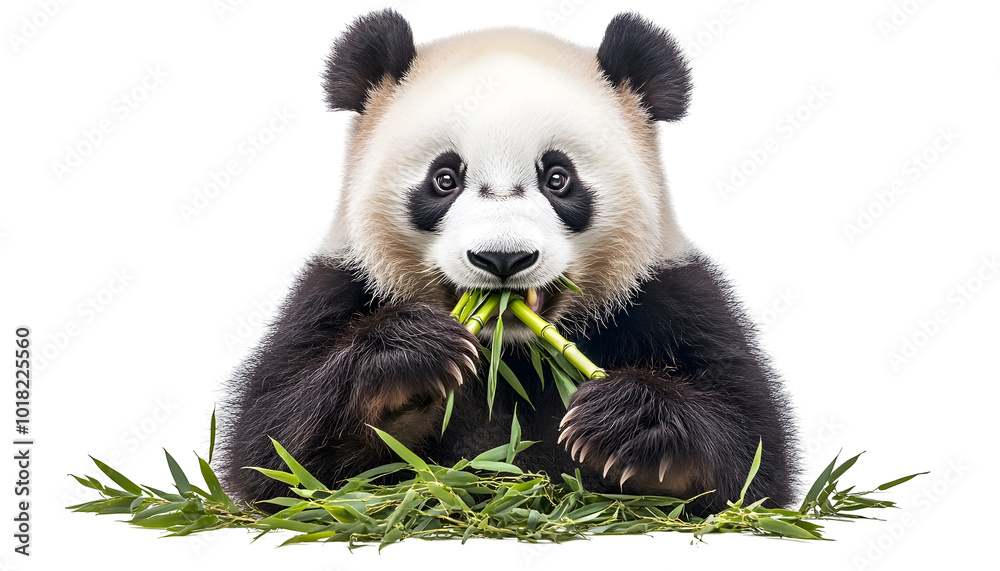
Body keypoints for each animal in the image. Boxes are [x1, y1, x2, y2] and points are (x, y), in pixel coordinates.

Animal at [220, 9, 798, 517]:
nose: (503, 258)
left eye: (558, 178)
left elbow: (751, 457)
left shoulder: (668, 297)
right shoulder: (340, 288)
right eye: (444, 179)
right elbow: (275, 451)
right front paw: (412, 360)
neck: (511, 354)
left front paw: (627, 420)